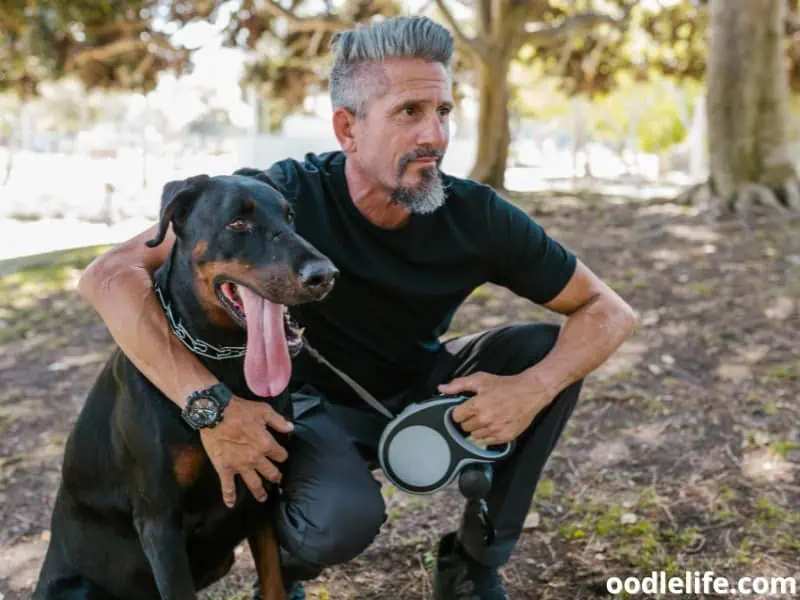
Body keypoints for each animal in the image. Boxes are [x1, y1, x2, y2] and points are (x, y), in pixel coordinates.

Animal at [32, 170, 334, 600]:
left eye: (290, 216)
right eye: (237, 222)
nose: (324, 275)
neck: (226, 364)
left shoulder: (261, 494)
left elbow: (274, 581)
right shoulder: (160, 523)